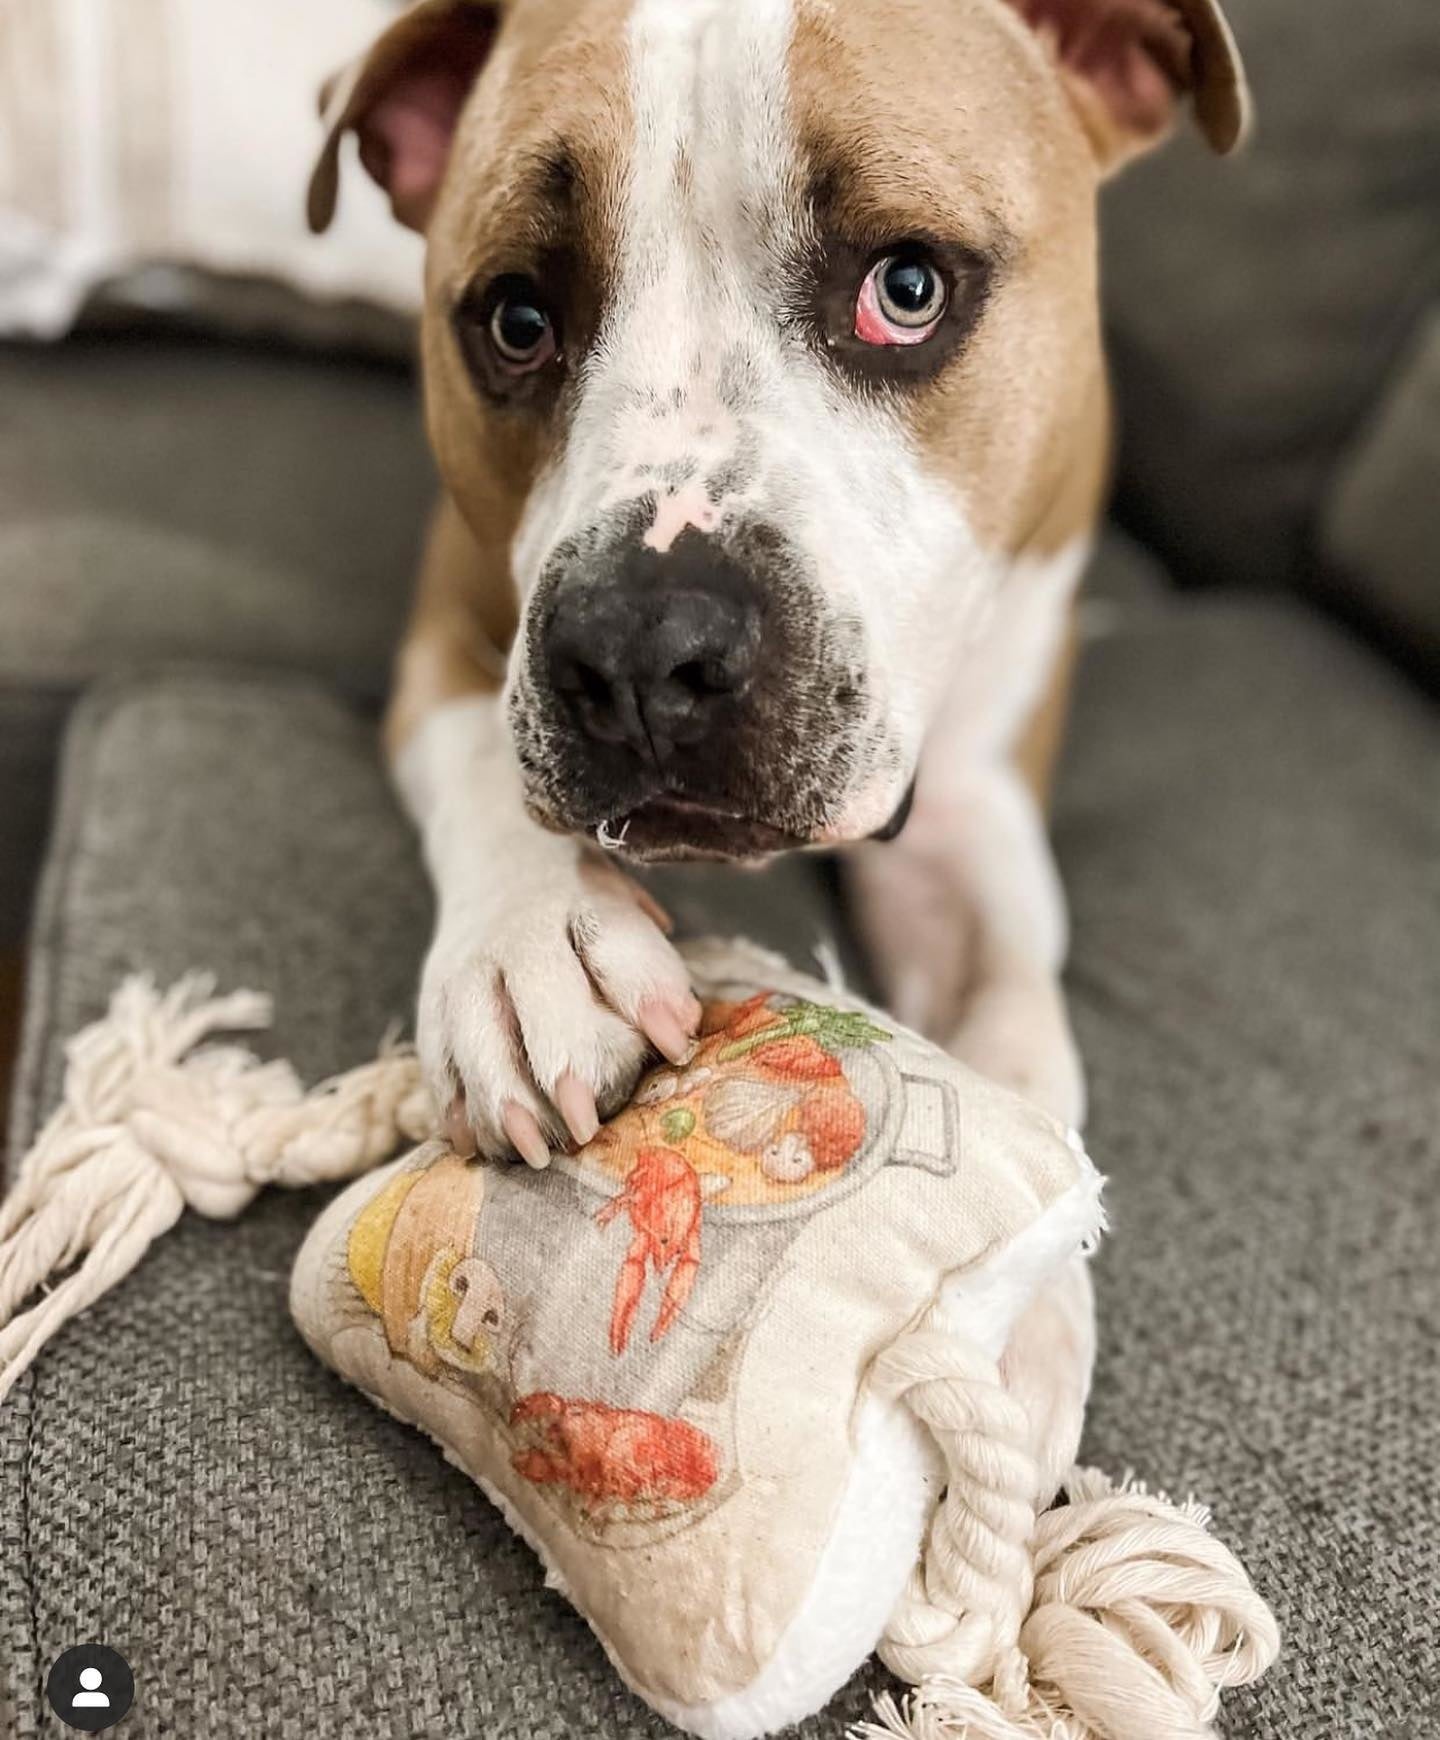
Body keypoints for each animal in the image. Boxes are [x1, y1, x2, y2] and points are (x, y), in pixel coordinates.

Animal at [306, 0, 1252, 1496]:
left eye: (906, 288)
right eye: (516, 319)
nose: (642, 650)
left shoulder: (973, 796)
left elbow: (1018, 1019)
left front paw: (1009, 1298)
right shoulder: (450, 625)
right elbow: (484, 778)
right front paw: (535, 945)